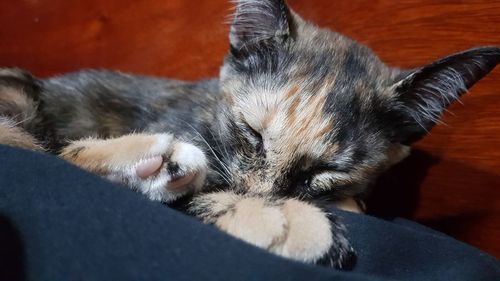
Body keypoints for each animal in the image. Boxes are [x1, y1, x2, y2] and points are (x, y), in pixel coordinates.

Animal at [0, 0, 500, 268]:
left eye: (325, 169)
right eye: (253, 134)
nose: (258, 196)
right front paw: (282, 219)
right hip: (22, 96)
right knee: (51, 151)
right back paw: (155, 162)